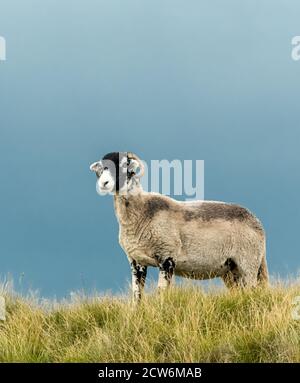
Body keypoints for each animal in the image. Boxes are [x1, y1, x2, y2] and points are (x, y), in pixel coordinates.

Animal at [90, 152, 268, 302]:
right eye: (101, 168)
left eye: (124, 164)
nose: (104, 183)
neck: (143, 210)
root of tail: (255, 221)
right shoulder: (136, 261)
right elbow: (137, 295)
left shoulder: (167, 257)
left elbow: (161, 293)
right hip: (230, 270)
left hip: (248, 264)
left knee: (253, 291)